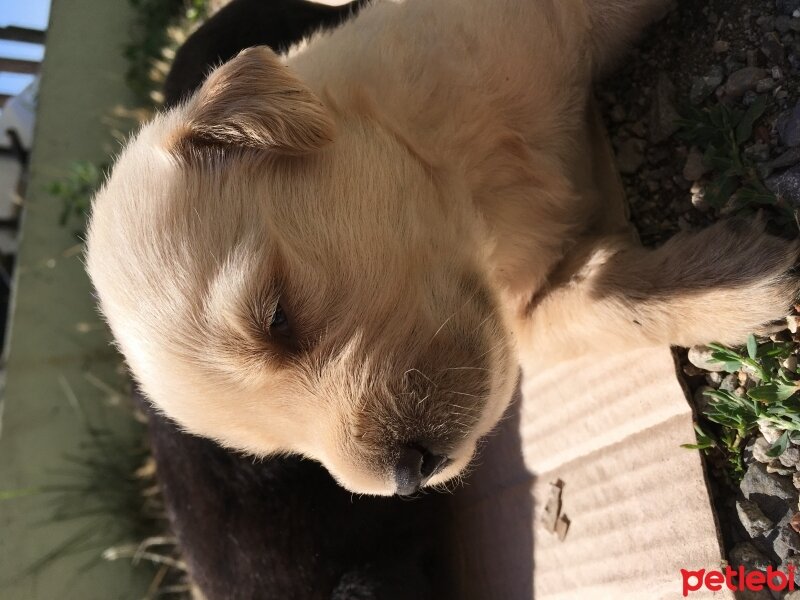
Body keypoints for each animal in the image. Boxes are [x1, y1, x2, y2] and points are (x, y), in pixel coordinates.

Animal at [84, 0, 796, 496]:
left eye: (277, 315)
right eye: (278, 450)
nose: (408, 478)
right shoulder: (522, 313)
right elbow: (589, 315)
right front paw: (738, 280)